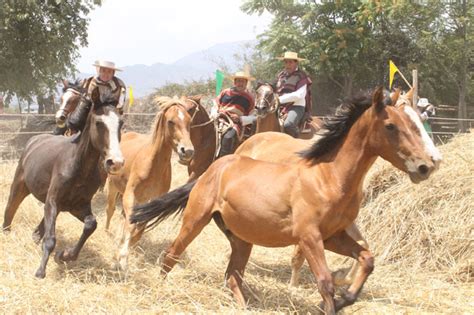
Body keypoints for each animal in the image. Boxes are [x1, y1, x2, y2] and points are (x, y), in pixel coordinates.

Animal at [2, 89, 124, 278]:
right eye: (98, 122)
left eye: (121, 123)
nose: (115, 162)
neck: (79, 167)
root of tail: (34, 140)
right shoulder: (53, 200)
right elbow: (51, 239)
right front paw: (40, 271)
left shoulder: (77, 206)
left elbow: (91, 224)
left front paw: (64, 255)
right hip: (19, 186)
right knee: (10, 209)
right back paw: (7, 234)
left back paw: (35, 236)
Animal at [106, 95, 195, 270]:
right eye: (170, 121)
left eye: (189, 120)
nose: (187, 151)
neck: (153, 165)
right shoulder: (130, 195)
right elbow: (131, 223)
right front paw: (122, 258)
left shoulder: (152, 202)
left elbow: (139, 227)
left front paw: (127, 248)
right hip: (113, 188)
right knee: (110, 210)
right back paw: (108, 234)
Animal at [130, 86, 440, 314]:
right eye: (391, 126)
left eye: (414, 122)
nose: (426, 165)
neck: (329, 177)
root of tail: (212, 169)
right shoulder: (309, 237)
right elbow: (324, 283)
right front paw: (332, 298)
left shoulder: (333, 236)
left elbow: (366, 259)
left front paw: (345, 296)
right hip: (195, 220)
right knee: (171, 256)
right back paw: (159, 290)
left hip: (241, 238)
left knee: (233, 275)